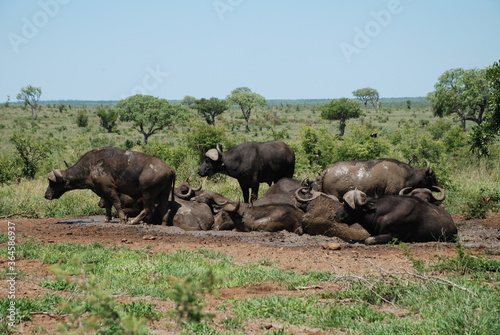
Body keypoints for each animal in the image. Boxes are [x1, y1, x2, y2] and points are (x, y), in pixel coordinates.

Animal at [44, 147, 176, 226]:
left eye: (52, 182)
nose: (46, 195)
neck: (90, 166)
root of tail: (169, 169)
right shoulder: (103, 191)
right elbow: (108, 206)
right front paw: (107, 219)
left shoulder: (110, 189)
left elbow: (117, 204)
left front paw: (123, 219)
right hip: (163, 193)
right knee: (166, 209)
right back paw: (163, 224)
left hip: (147, 193)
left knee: (147, 208)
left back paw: (134, 221)